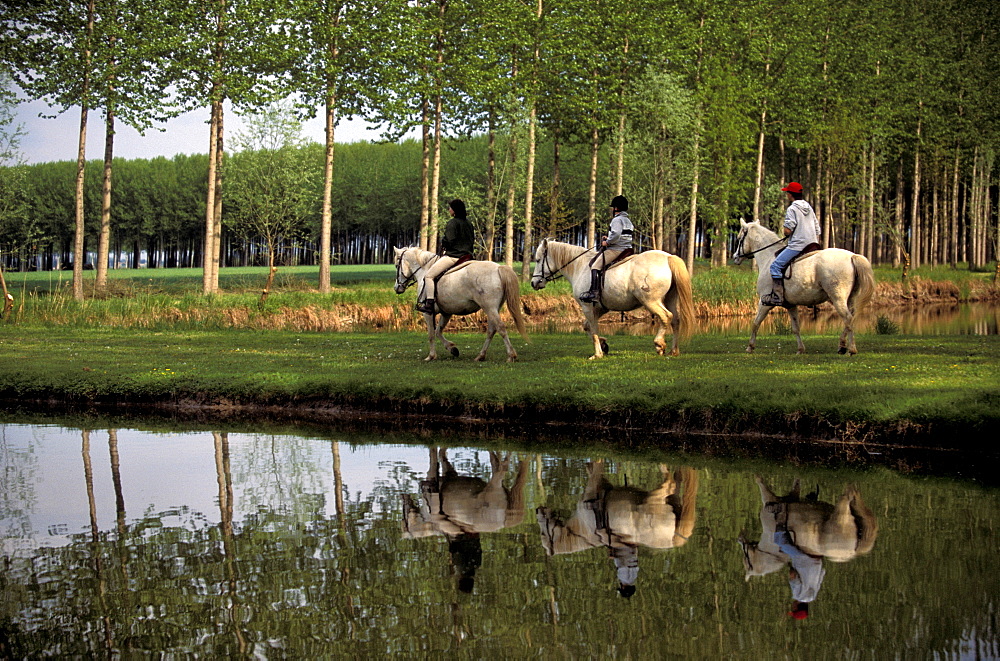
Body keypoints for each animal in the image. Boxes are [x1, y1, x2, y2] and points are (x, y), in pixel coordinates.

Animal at [392, 246, 528, 360]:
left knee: (500, 327)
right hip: (494, 308)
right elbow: (438, 331)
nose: (397, 288)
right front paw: (452, 349)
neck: (425, 270)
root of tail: (498, 268)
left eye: (396, 266)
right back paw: (481, 356)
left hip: (489, 307)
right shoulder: (446, 313)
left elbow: (431, 334)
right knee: (491, 330)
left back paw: (511, 355)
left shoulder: (428, 313)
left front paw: (431, 356)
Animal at [532, 238, 696, 358]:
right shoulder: (600, 308)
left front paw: (597, 354)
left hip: (651, 301)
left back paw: (659, 344)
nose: (534, 283)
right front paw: (604, 345)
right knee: (675, 320)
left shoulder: (587, 307)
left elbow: (593, 329)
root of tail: (668, 257)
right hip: (670, 298)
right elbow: (587, 326)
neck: (580, 267)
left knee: (666, 316)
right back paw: (674, 351)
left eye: (538, 260)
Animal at [728, 220, 876, 356]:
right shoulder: (791, 305)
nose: (735, 257)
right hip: (849, 298)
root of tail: (852, 256)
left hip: (837, 298)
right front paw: (800, 349)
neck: (768, 257)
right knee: (850, 318)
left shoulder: (764, 303)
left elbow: (756, 322)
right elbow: (796, 328)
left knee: (848, 318)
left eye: (739, 238)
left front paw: (750, 347)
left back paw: (851, 349)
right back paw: (842, 346)